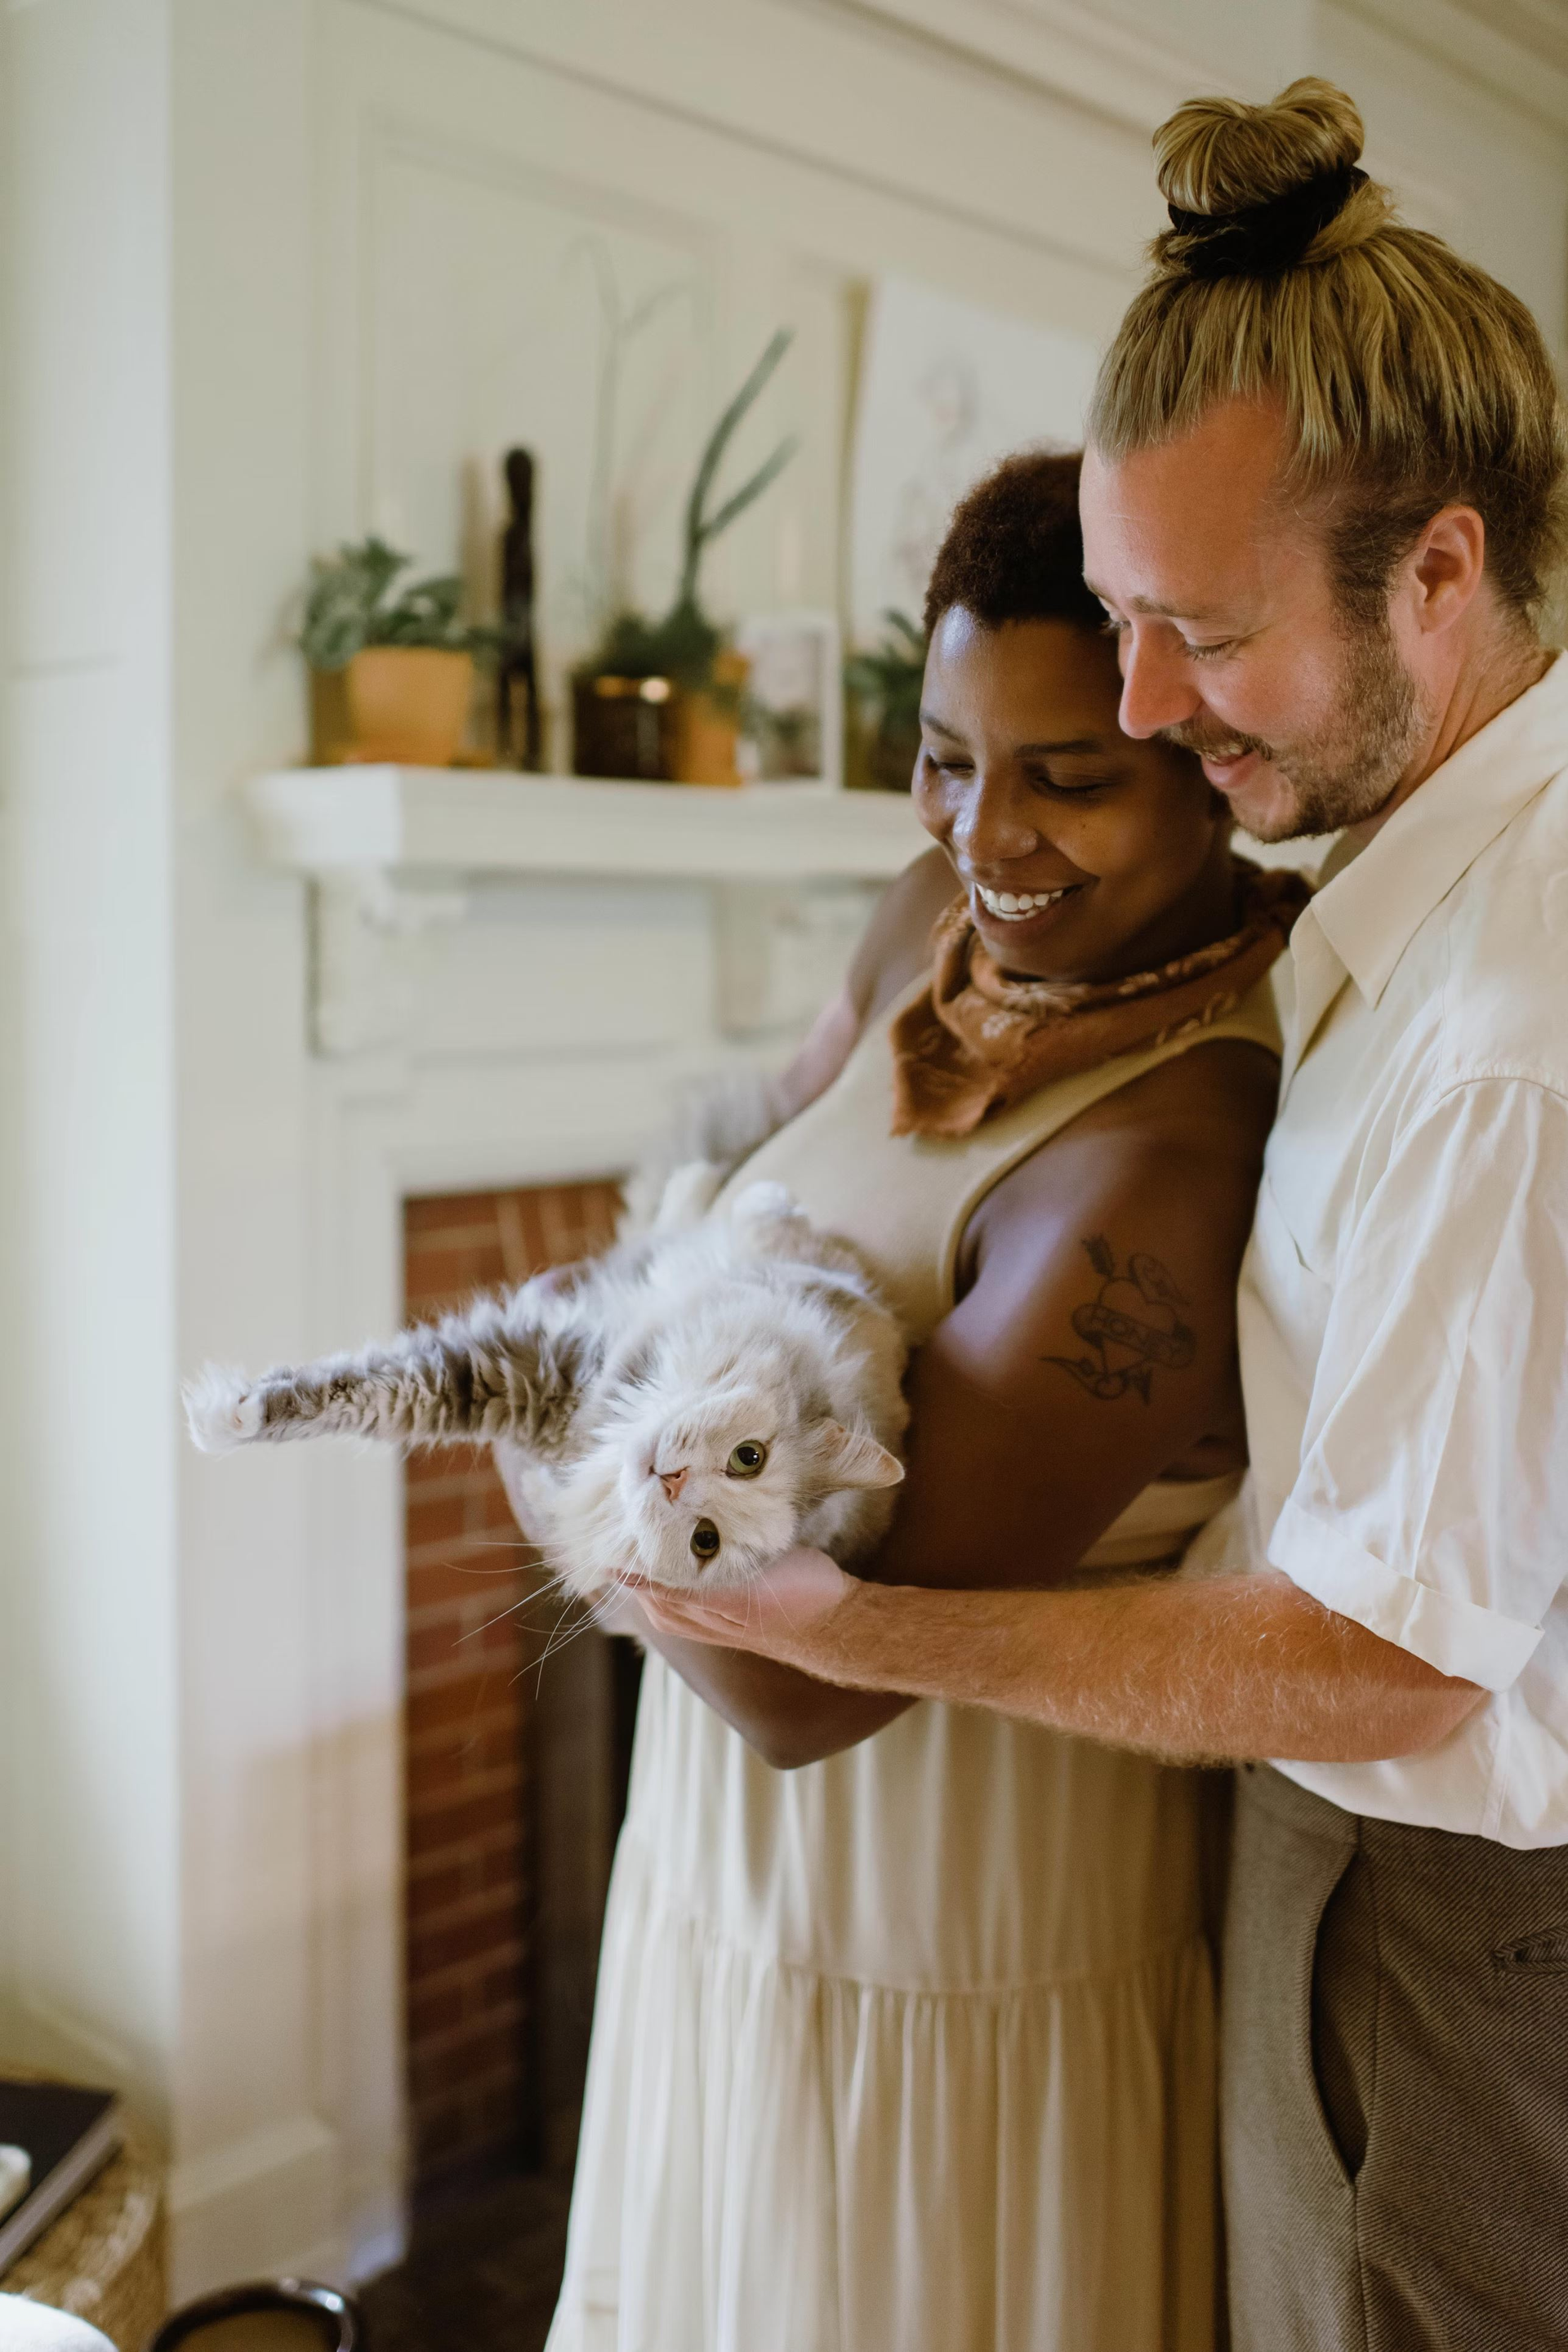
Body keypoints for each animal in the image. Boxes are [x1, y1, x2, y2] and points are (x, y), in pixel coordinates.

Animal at [186, 1171, 907, 1599]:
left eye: (706, 1542)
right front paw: (225, 1412)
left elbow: (373, 1395)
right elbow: (351, 1386)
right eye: (749, 1458)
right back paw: (727, 1189)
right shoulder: (550, 1358)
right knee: (683, 1225)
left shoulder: (515, 1385)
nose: (673, 1481)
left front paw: (214, 1416)